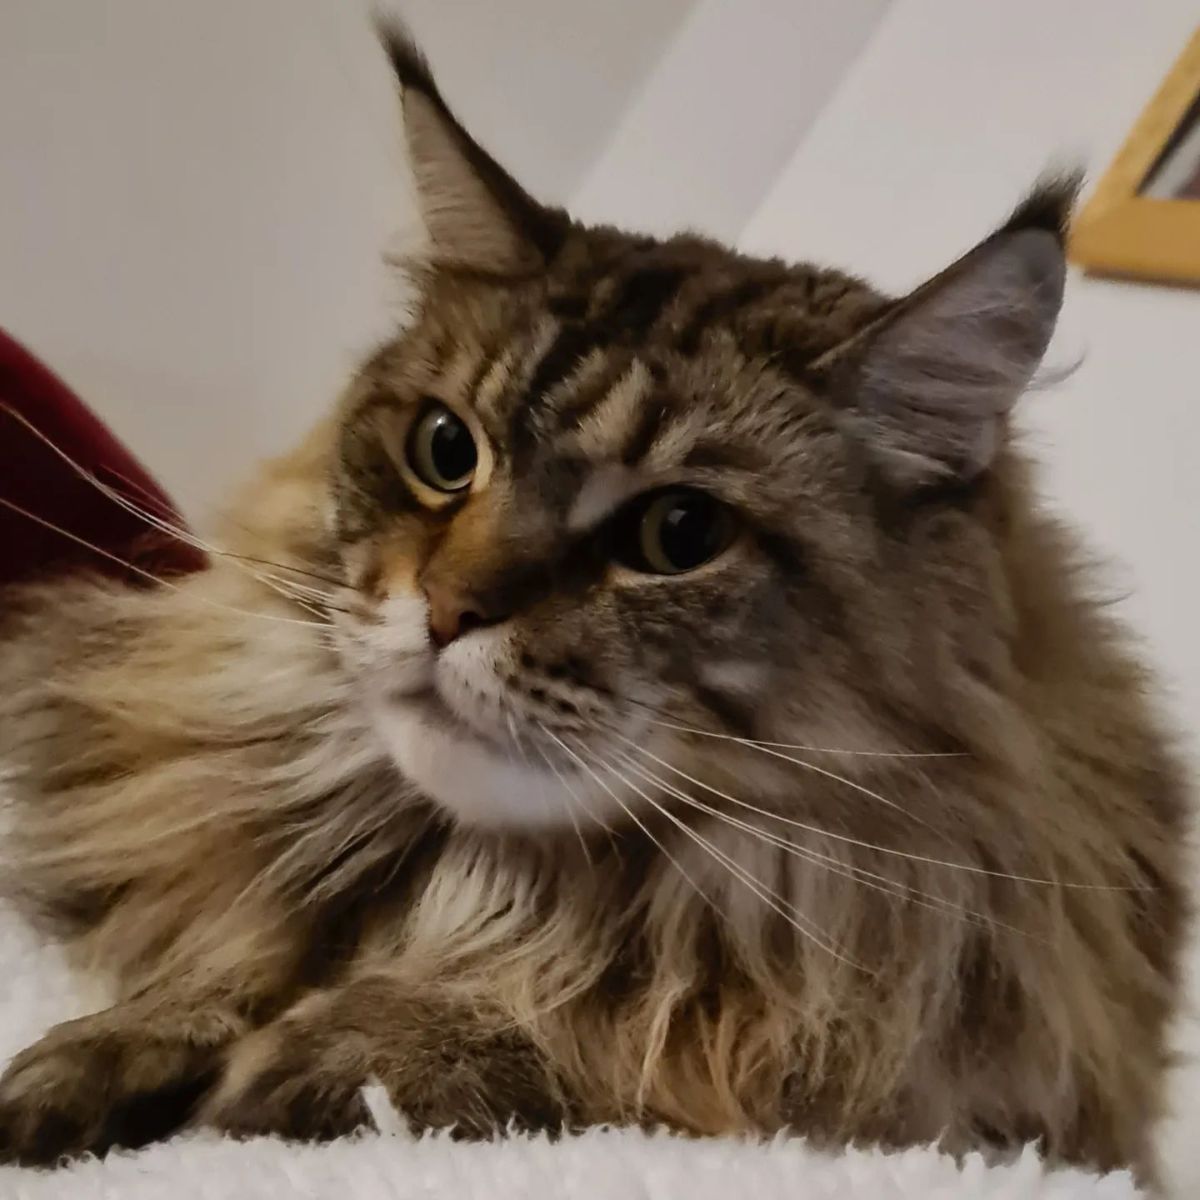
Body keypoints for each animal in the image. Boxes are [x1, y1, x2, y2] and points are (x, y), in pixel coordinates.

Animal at [0, 16, 1185, 1180]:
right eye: (444, 451)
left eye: (679, 534)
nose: (447, 610)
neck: (470, 870)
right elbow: (219, 954)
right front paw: (97, 1056)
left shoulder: (914, 1077)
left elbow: (596, 1037)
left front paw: (334, 1055)